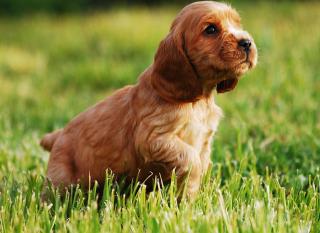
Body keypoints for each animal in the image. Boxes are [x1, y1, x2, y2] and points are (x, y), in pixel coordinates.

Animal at [40, 1, 258, 198]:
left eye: (238, 24)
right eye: (211, 29)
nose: (247, 42)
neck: (198, 101)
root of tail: (57, 135)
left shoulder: (204, 142)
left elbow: (200, 166)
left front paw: (192, 200)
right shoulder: (153, 138)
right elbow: (191, 161)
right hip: (61, 180)